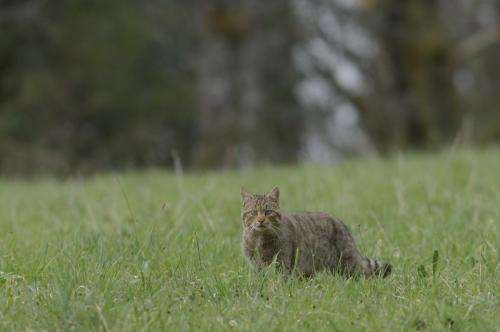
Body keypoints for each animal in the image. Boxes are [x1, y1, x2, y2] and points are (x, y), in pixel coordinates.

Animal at [240, 187, 392, 278]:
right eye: (253, 212)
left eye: (268, 212)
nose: (260, 220)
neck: (259, 238)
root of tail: (343, 226)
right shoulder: (256, 264)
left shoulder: (282, 262)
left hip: (348, 264)